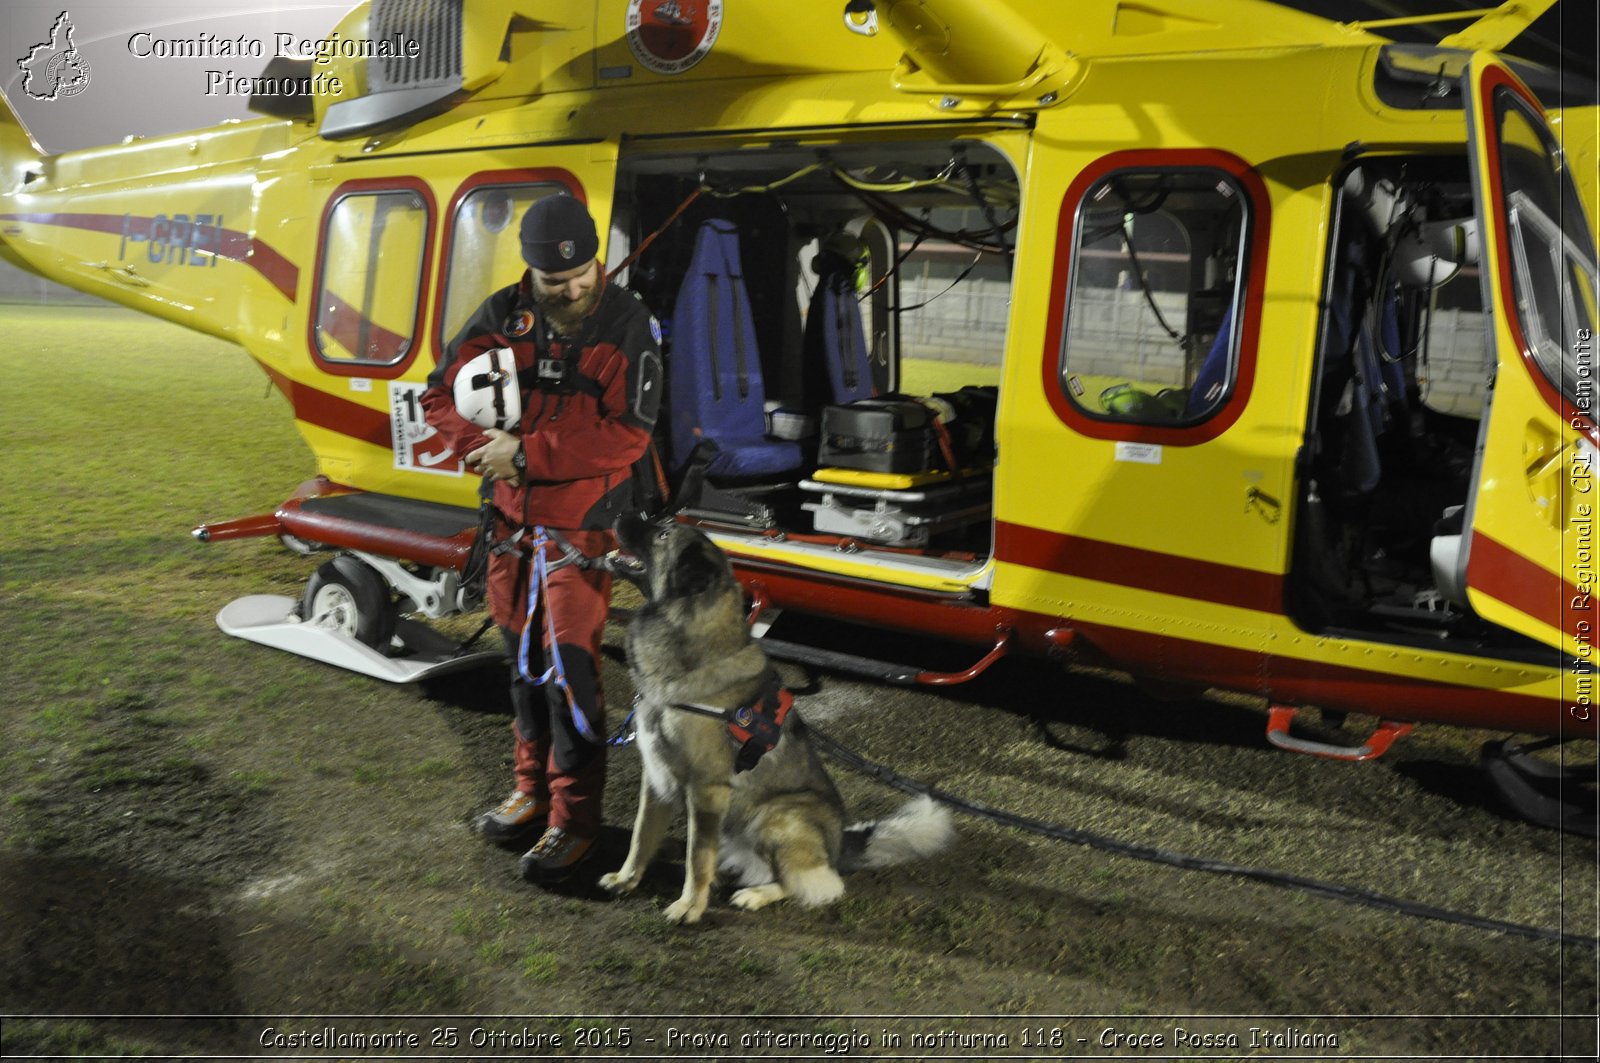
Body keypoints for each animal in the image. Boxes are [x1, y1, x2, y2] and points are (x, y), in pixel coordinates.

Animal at [598, 515, 947, 922]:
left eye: (663, 533)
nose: (616, 514)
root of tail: (839, 845)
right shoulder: (655, 778)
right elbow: (642, 835)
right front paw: (627, 879)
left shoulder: (707, 789)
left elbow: (697, 856)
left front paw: (689, 907)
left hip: (777, 817)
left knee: (816, 882)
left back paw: (756, 894)